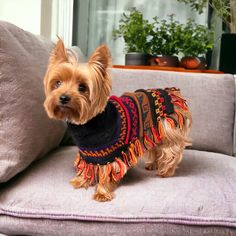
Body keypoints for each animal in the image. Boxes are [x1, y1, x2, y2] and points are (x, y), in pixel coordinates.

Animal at [43, 39, 192, 202]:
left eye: (82, 87)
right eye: (57, 83)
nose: (63, 97)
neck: (88, 121)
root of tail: (172, 92)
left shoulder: (110, 154)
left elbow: (106, 172)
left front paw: (102, 192)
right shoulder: (88, 152)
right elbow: (88, 166)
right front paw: (82, 180)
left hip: (168, 130)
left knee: (171, 151)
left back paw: (166, 171)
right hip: (152, 130)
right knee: (155, 148)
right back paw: (152, 164)